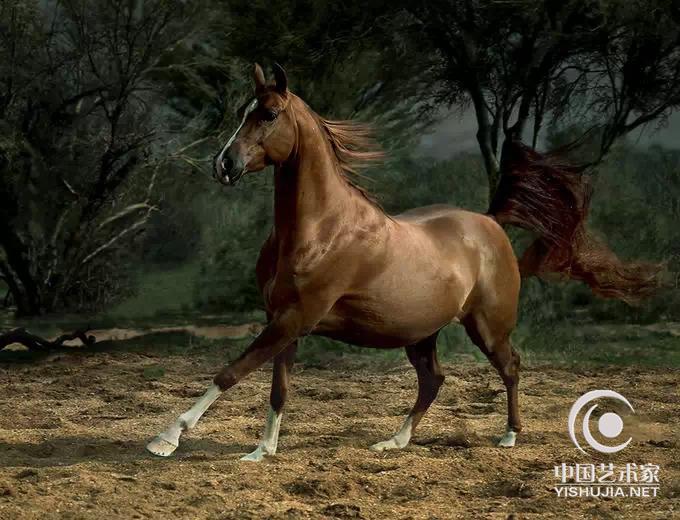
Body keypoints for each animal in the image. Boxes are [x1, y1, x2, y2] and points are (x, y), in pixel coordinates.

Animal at [146, 64, 660, 460]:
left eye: (268, 114)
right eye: (242, 113)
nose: (223, 164)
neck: (320, 229)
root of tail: (490, 221)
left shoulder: (295, 318)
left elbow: (231, 371)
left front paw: (166, 439)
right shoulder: (284, 319)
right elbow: (278, 388)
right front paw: (262, 450)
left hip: (487, 326)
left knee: (510, 366)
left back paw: (510, 437)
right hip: (421, 334)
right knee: (434, 380)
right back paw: (393, 442)